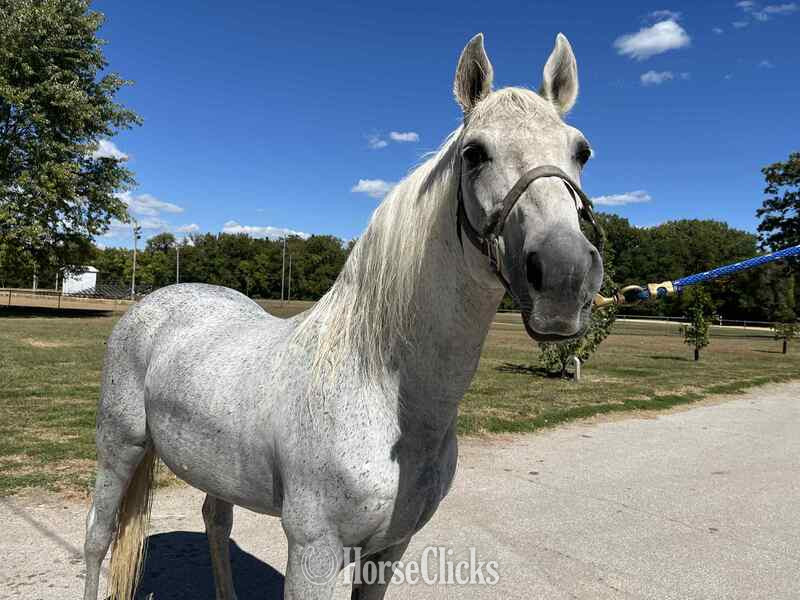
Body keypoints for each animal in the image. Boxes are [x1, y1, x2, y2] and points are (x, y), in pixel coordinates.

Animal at [83, 32, 603, 600]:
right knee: (98, 536)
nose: (565, 276)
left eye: (581, 151)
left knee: (215, 524)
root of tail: (154, 304)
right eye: (474, 153)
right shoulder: (313, 552)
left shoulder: (389, 549)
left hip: (212, 468)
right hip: (120, 447)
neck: (380, 387)